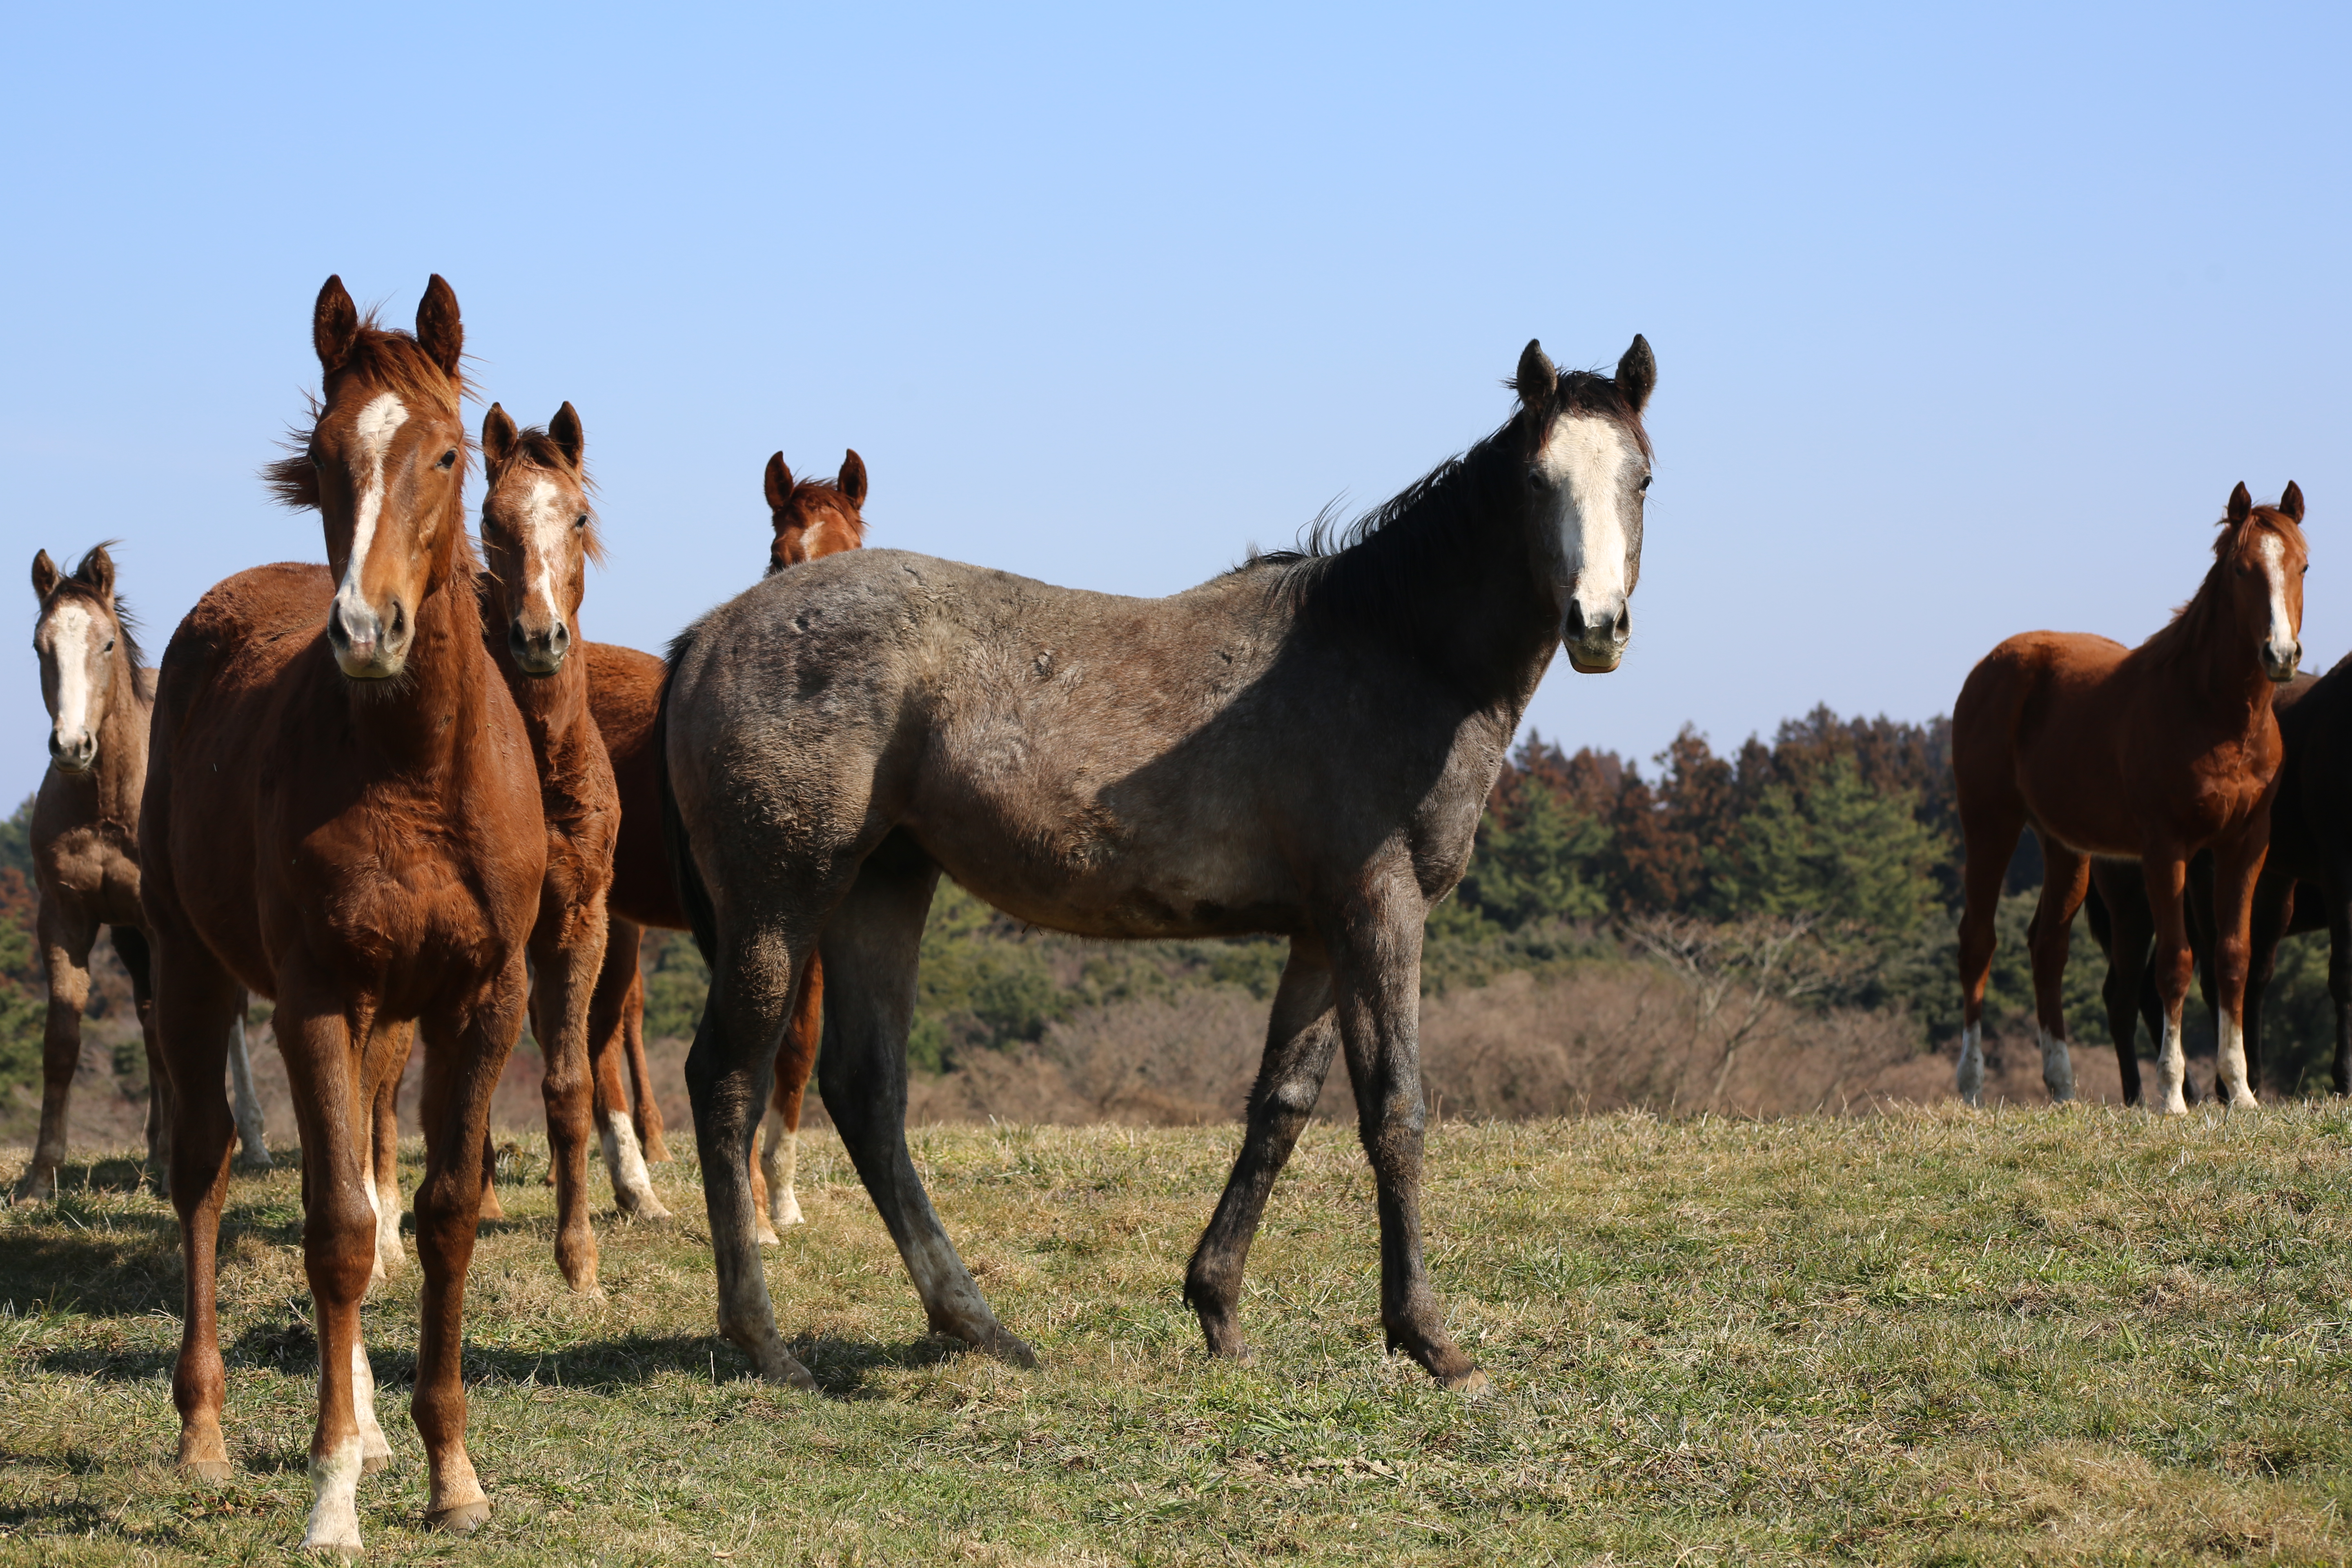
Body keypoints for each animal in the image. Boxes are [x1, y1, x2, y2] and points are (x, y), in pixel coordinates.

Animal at [19, 545, 270, 1194]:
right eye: (40, 645)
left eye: (107, 643)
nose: (72, 746)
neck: (106, 801)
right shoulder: (65, 918)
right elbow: (63, 1042)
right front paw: (41, 1176)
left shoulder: (163, 927)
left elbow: (166, 1037)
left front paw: (167, 1162)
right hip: (132, 937)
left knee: (226, 1018)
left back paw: (251, 1142)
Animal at [142, 276, 541, 1551]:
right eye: (324, 457)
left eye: (450, 454)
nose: (367, 631)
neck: (413, 775)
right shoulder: (313, 1000)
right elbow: (336, 1233)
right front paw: (330, 1503)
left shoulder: (482, 999)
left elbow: (442, 1216)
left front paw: (452, 1475)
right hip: (193, 969)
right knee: (206, 1170)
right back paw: (205, 1433)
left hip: (387, 1019)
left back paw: (367, 1428)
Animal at [578, 444, 875, 1241]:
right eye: (778, 558)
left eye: (855, 556)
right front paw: (754, 1215)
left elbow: (796, 1052)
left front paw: (785, 1198)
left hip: (618, 920)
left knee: (597, 1032)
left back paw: (633, 1191)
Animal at [658, 339, 1656, 1392]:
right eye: (1537, 481)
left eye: (1640, 478)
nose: (1597, 625)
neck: (1391, 650)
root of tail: (709, 633)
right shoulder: (1380, 910)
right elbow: (1395, 1111)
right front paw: (1429, 1339)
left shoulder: (1320, 931)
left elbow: (1279, 1108)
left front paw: (1218, 1310)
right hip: (781, 900)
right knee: (728, 1080)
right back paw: (765, 1341)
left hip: (881, 886)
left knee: (866, 1093)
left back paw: (979, 1326)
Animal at [1947, 484, 2314, 1109]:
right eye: (2241, 570)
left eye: (2303, 567)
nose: (2281, 655)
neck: (2213, 712)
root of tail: (1989, 667)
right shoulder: (2166, 849)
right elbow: (2176, 963)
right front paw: (2172, 1096)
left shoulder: (2245, 846)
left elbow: (2233, 960)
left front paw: (2240, 1093)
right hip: (1990, 822)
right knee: (1978, 940)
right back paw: (1971, 1087)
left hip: (2066, 847)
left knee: (2048, 946)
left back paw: (2063, 1087)